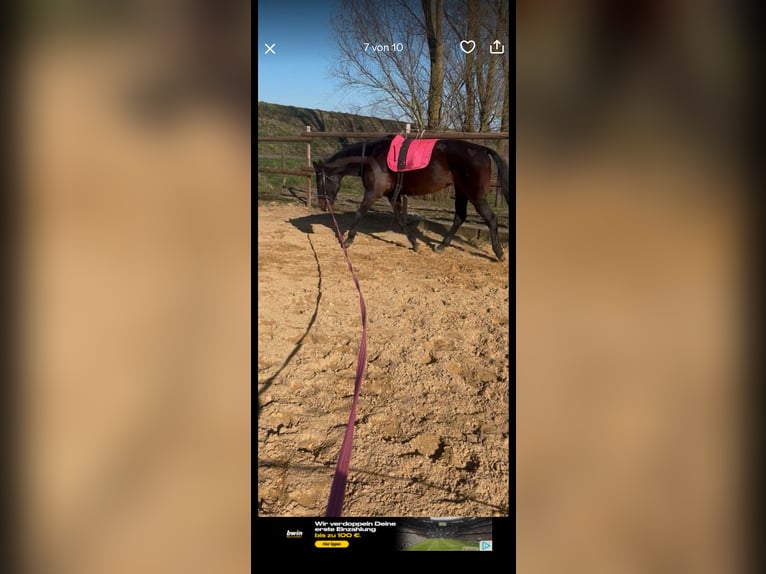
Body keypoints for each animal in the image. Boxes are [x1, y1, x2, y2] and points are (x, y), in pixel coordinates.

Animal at [312, 135, 510, 261]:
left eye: (319, 180)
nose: (322, 204)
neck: (371, 156)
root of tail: (482, 149)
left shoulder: (373, 192)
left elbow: (359, 213)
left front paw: (347, 240)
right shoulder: (393, 196)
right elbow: (401, 220)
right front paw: (415, 244)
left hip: (475, 195)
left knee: (490, 218)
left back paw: (499, 253)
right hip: (461, 192)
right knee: (460, 217)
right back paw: (441, 246)